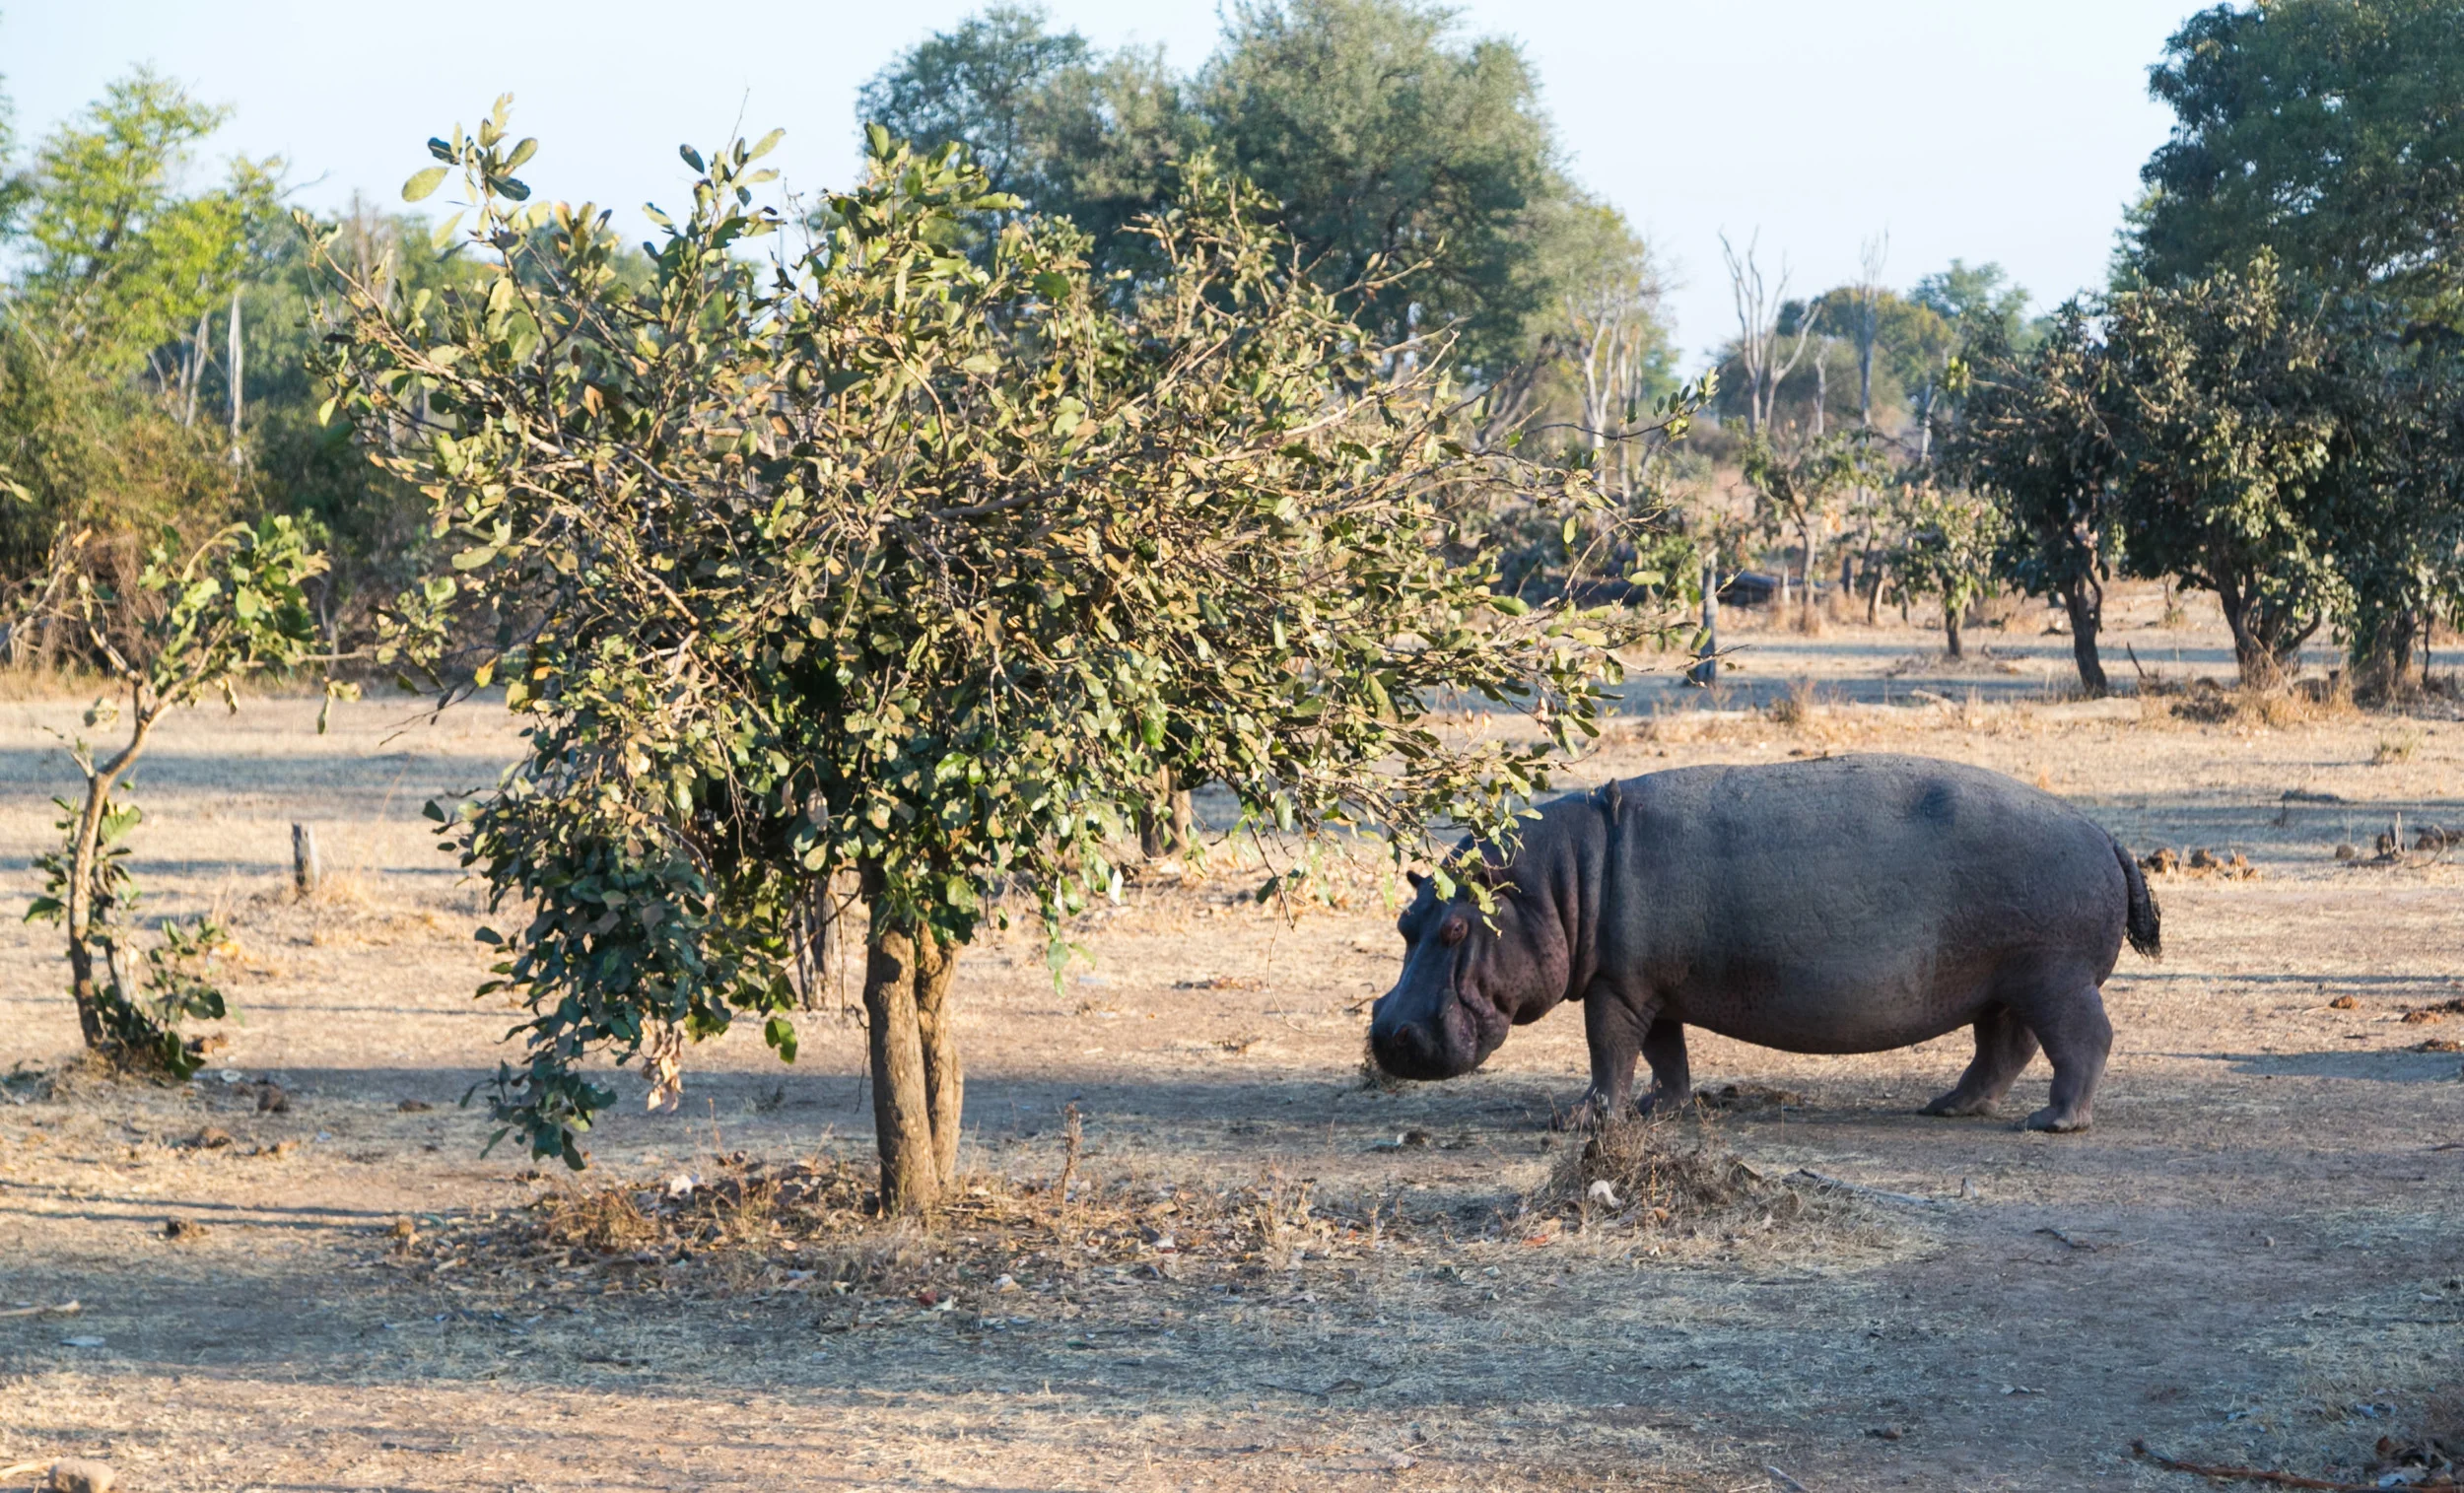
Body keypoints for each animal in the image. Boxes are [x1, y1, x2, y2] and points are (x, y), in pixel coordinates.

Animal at [1367, 754, 2160, 1132]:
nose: (1386, 1036)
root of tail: (2105, 833)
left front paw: (1585, 1119)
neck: (1558, 880)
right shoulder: (1652, 984)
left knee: (2083, 1040)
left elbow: (1608, 1052)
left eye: (1457, 928)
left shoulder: (1615, 986)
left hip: (2052, 978)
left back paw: (2053, 1123)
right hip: (2003, 984)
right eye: (1405, 923)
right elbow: (1666, 1054)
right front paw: (1662, 1109)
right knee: (2001, 1049)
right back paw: (1947, 1106)